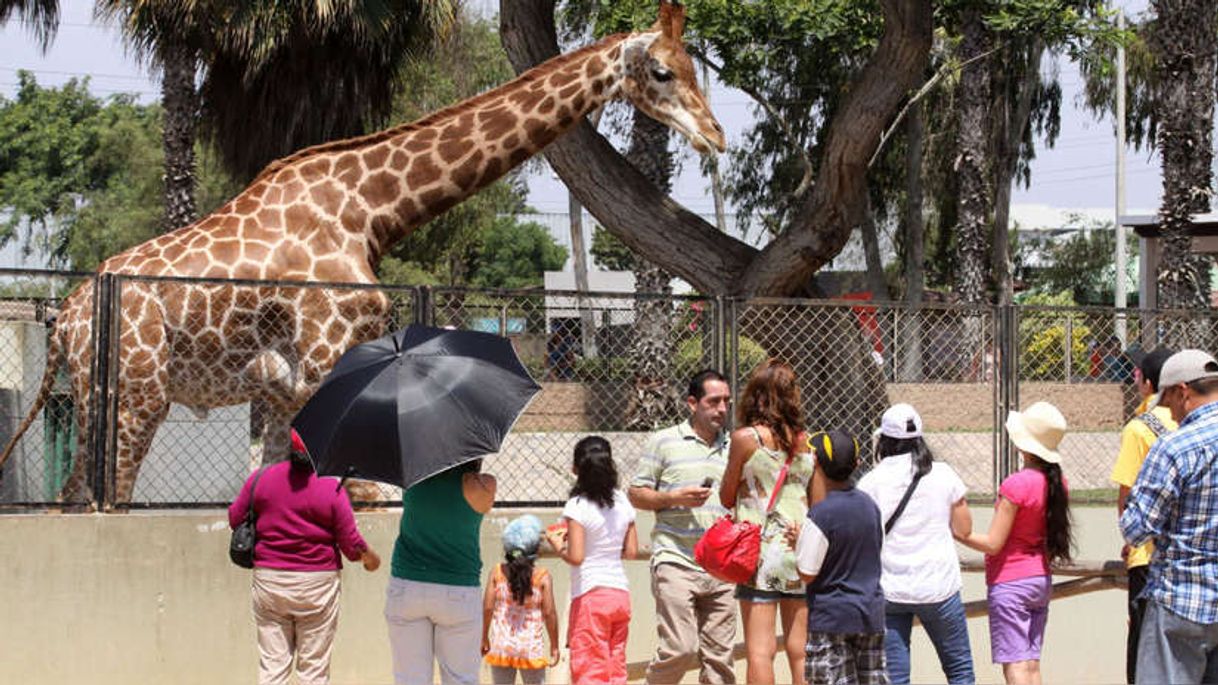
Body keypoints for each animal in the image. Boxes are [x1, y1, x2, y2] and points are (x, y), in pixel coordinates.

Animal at [0, 0, 721, 502]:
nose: (714, 135)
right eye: (661, 71)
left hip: (97, 396)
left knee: (77, 495)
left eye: (695, 69)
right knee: (104, 497)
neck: (371, 209)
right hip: (135, 392)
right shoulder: (324, 357)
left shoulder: (291, 384)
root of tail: (65, 318)